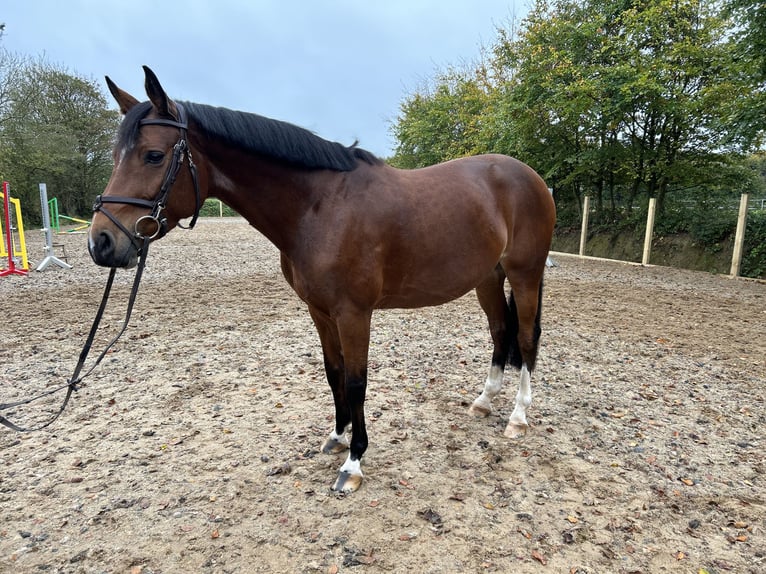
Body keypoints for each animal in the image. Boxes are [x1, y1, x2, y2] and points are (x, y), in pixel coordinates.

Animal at [90, 66, 560, 496]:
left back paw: (518, 417)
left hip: (525, 273)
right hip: (487, 278)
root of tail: (531, 177)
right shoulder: (319, 310)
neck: (320, 207)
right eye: (115, 156)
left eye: (153, 155)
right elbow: (333, 373)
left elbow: (356, 382)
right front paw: (336, 438)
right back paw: (483, 402)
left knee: (525, 337)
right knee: (500, 332)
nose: (102, 242)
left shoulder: (354, 313)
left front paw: (354, 463)